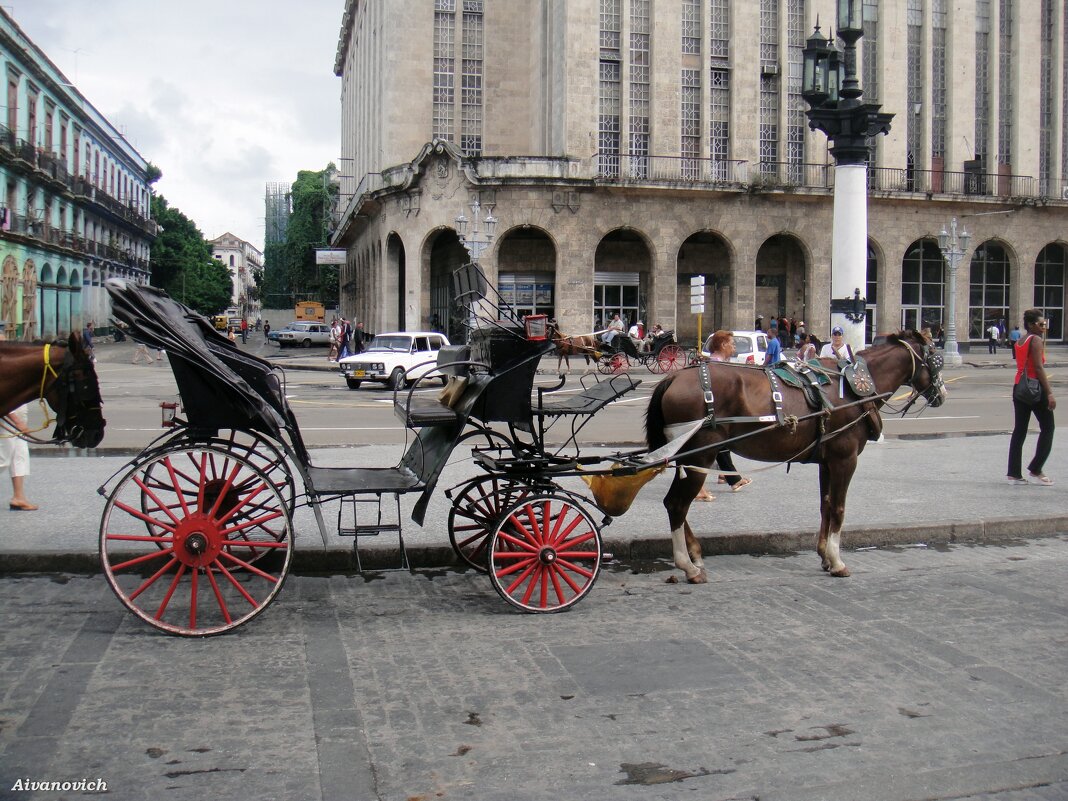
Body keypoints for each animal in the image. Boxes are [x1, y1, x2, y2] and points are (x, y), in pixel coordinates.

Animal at [640, 331, 944, 585]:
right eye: (935, 360)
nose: (941, 394)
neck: (854, 388)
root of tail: (673, 377)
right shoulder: (845, 459)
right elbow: (839, 509)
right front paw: (837, 560)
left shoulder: (827, 461)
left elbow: (825, 505)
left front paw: (824, 555)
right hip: (702, 455)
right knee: (677, 504)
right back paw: (688, 566)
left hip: (689, 457)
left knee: (676, 503)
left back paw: (694, 554)